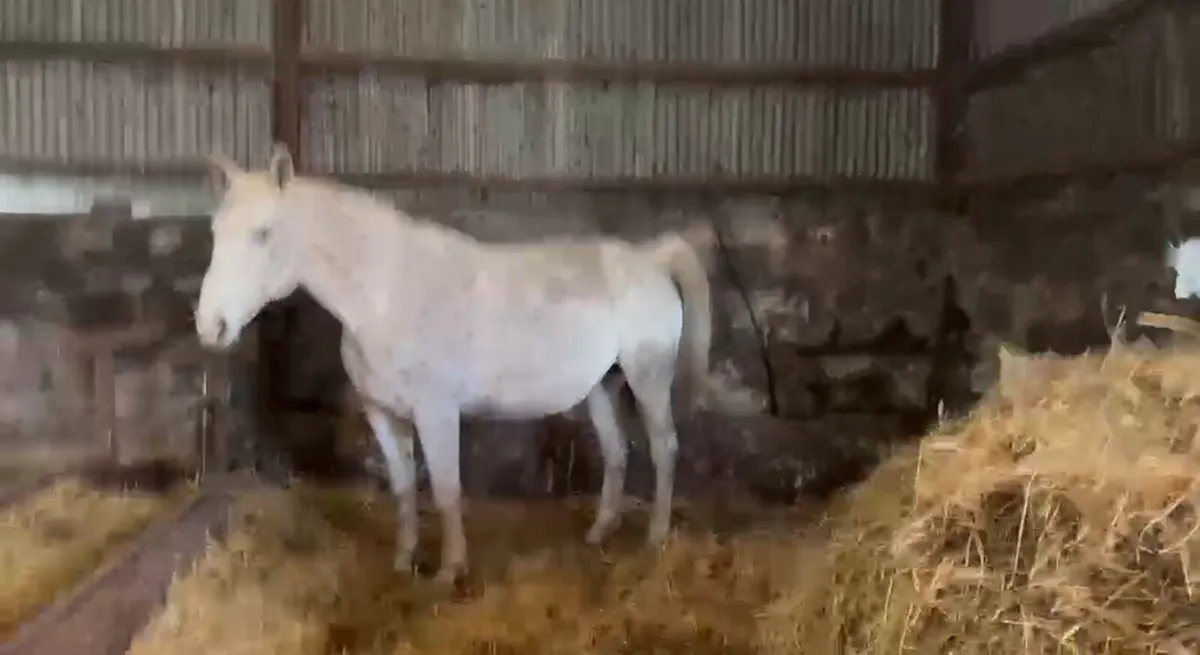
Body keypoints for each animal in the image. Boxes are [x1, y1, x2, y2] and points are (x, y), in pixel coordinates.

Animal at [193, 145, 714, 584]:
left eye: (264, 234)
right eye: (214, 233)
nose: (210, 325)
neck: (385, 294)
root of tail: (651, 258)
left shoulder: (436, 413)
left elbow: (446, 488)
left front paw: (450, 571)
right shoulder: (382, 412)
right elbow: (404, 487)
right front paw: (404, 561)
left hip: (648, 378)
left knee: (664, 448)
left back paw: (655, 537)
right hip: (603, 386)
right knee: (616, 451)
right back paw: (600, 531)